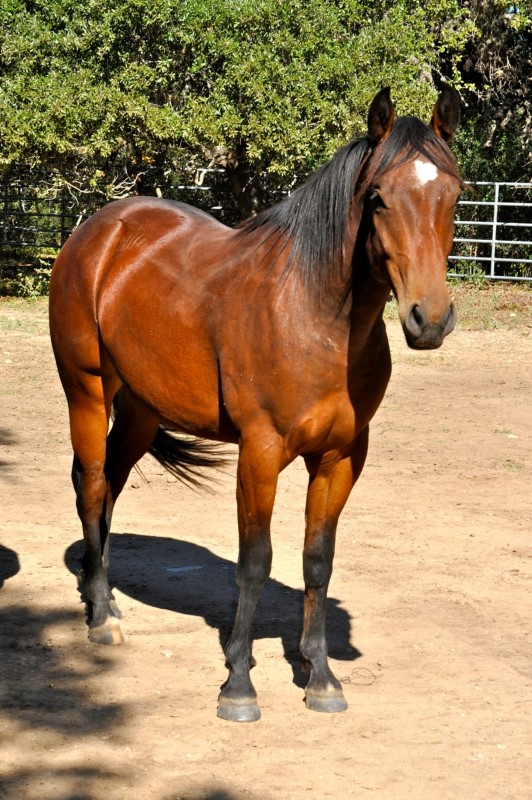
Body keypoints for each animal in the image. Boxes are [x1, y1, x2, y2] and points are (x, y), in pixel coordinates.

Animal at [52, 86, 464, 720]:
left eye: (454, 193)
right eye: (377, 198)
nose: (430, 319)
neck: (314, 315)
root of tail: (98, 232)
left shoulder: (341, 458)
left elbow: (317, 560)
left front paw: (321, 677)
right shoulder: (260, 451)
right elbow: (255, 562)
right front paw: (239, 685)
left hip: (141, 414)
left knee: (109, 491)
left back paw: (108, 598)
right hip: (88, 393)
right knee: (92, 485)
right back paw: (100, 620)